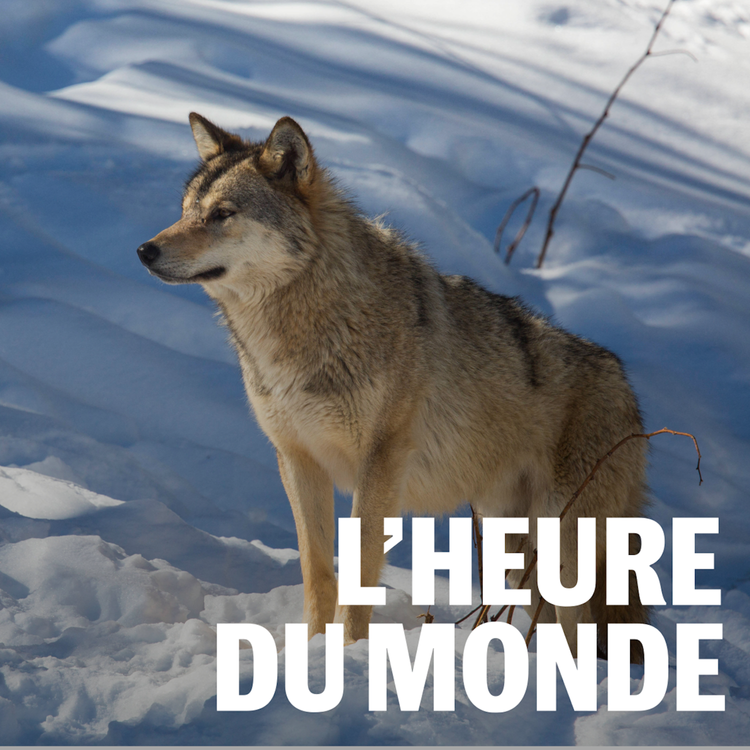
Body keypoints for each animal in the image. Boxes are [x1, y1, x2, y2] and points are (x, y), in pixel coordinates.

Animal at [137, 113, 648, 661]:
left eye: (222, 214)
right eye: (186, 211)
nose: (145, 250)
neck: (306, 326)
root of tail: (629, 391)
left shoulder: (379, 464)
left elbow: (360, 575)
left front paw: (347, 656)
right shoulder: (297, 461)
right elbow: (318, 574)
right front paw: (312, 651)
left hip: (560, 552)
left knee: (587, 637)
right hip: (509, 547)